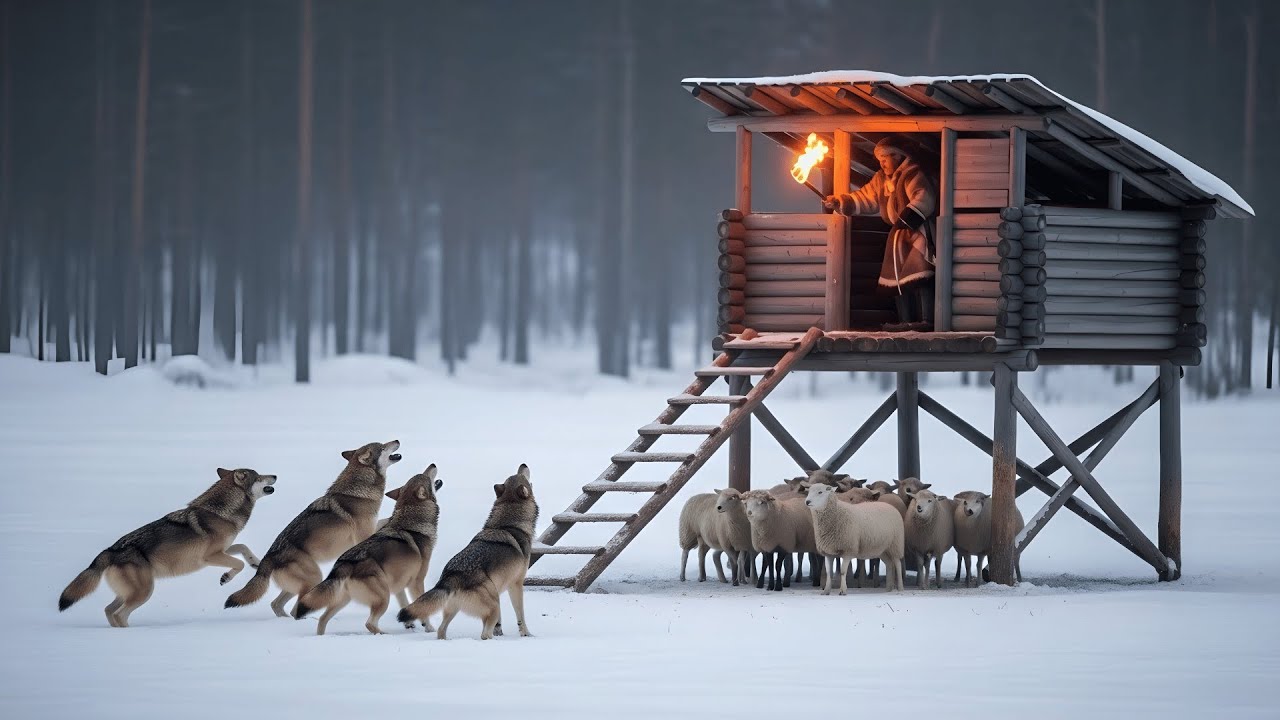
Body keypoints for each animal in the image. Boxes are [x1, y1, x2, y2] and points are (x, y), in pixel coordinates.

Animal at [58, 468, 277, 627]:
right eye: (259, 476)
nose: (275, 475)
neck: (221, 512)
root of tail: (110, 550)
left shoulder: (223, 549)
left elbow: (243, 548)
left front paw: (256, 562)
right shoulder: (209, 557)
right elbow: (238, 563)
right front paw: (226, 577)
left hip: (129, 593)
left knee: (108, 610)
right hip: (144, 592)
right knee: (119, 614)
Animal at [224, 440, 400, 616]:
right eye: (383, 446)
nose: (397, 440)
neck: (359, 490)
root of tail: (268, 558)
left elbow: (384, 521)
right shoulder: (364, 535)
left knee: (276, 604)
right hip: (315, 578)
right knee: (295, 608)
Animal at [293, 464, 443, 635]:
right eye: (425, 475)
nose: (433, 464)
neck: (412, 523)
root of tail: (344, 564)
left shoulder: (400, 585)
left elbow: (406, 605)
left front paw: (409, 622)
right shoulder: (416, 582)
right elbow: (423, 608)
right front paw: (429, 628)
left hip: (344, 600)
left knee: (322, 619)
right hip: (383, 598)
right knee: (369, 623)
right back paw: (383, 635)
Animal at [397, 464, 537, 640]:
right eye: (522, 476)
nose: (523, 464)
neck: (509, 523)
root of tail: (451, 577)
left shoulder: (499, 588)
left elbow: (500, 624)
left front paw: (501, 633)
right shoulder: (516, 585)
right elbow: (521, 616)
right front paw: (526, 634)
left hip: (458, 609)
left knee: (441, 631)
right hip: (494, 605)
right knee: (484, 635)